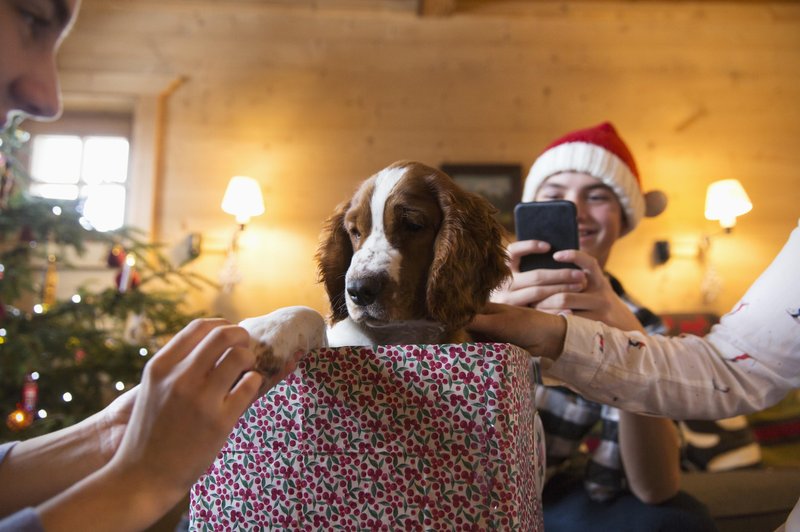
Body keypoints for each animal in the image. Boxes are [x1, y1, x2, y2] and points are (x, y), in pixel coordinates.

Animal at [241, 160, 510, 376]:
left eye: (413, 225)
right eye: (354, 231)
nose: (359, 290)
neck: (391, 333)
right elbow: (311, 315)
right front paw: (267, 332)